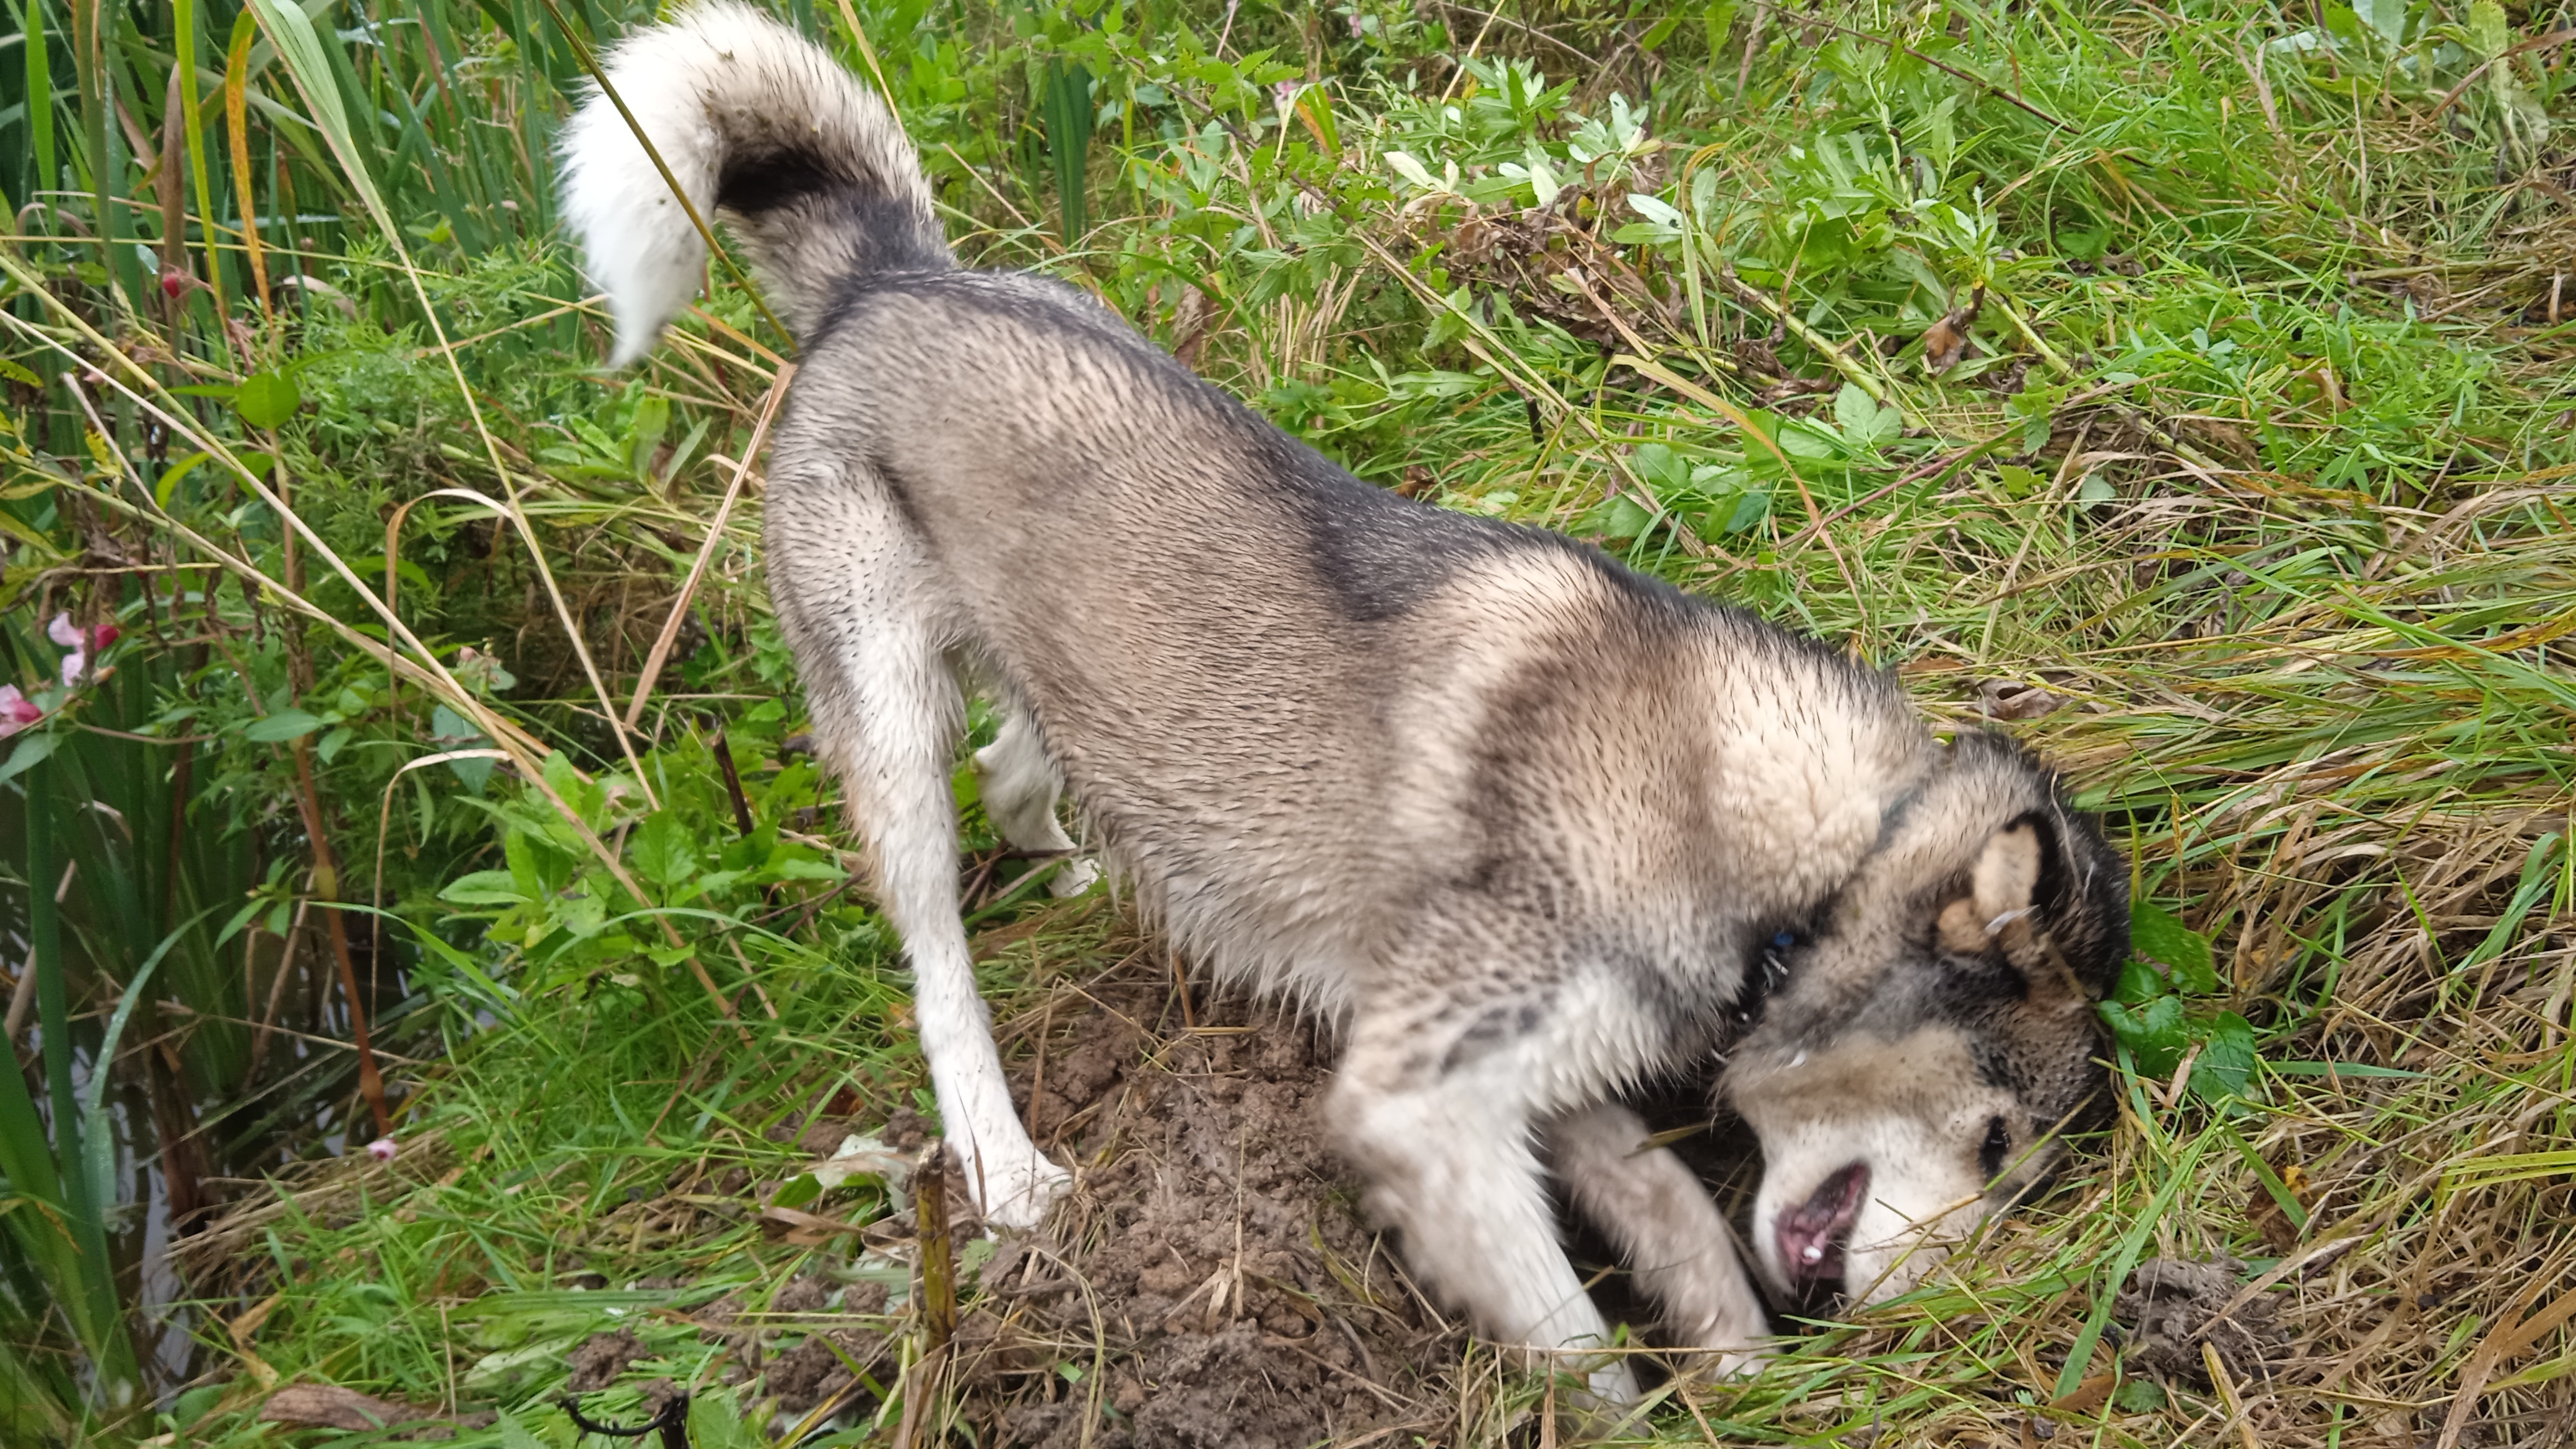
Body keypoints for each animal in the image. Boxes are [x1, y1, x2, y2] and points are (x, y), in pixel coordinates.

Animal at [564, 2, 2133, 1403]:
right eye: (1999, 1143)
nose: (1934, 1332)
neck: (1787, 841)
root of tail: (890, 275)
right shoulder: (1422, 1106)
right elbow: (1579, 1348)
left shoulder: (1542, 1093)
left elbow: (1683, 1227)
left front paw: (1740, 1378)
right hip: (891, 727)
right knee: (937, 952)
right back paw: (1002, 1160)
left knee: (1022, 771)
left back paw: (1079, 862)